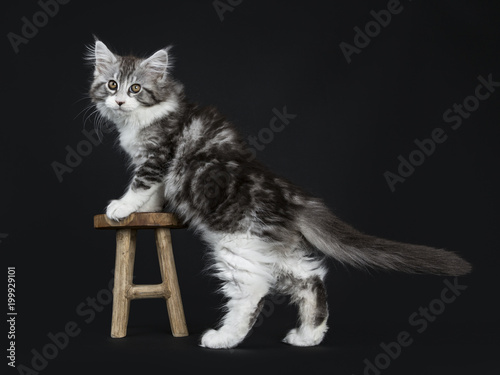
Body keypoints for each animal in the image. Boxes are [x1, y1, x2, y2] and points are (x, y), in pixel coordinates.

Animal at [88, 40, 470, 350]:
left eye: (136, 88)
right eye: (112, 84)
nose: (119, 101)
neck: (143, 118)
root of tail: (291, 196)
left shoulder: (156, 158)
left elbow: (140, 186)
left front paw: (120, 208)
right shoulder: (154, 166)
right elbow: (152, 197)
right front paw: (145, 212)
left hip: (237, 245)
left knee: (252, 292)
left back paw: (224, 339)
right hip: (271, 248)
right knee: (311, 277)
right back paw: (308, 336)